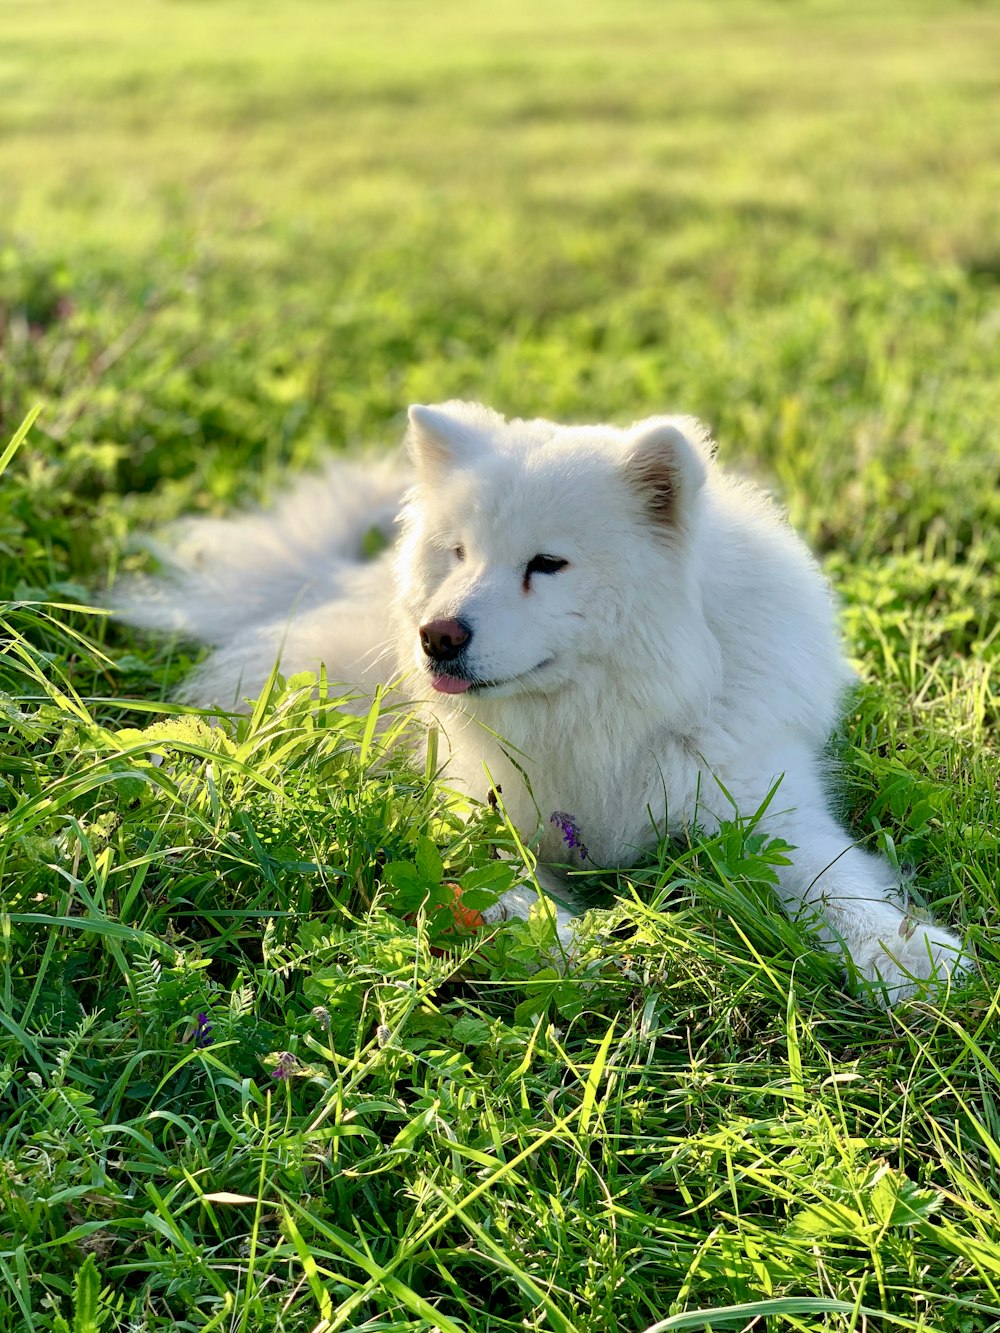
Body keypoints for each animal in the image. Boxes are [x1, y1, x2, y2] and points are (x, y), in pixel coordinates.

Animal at [117, 399, 970, 1002]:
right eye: (458, 552)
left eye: (548, 564)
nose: (437, 636)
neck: (601, 710)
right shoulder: (475, 814)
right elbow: (506, 888)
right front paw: (571, 946)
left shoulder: (768, 809)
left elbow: (839, 887)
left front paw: (909, 955)